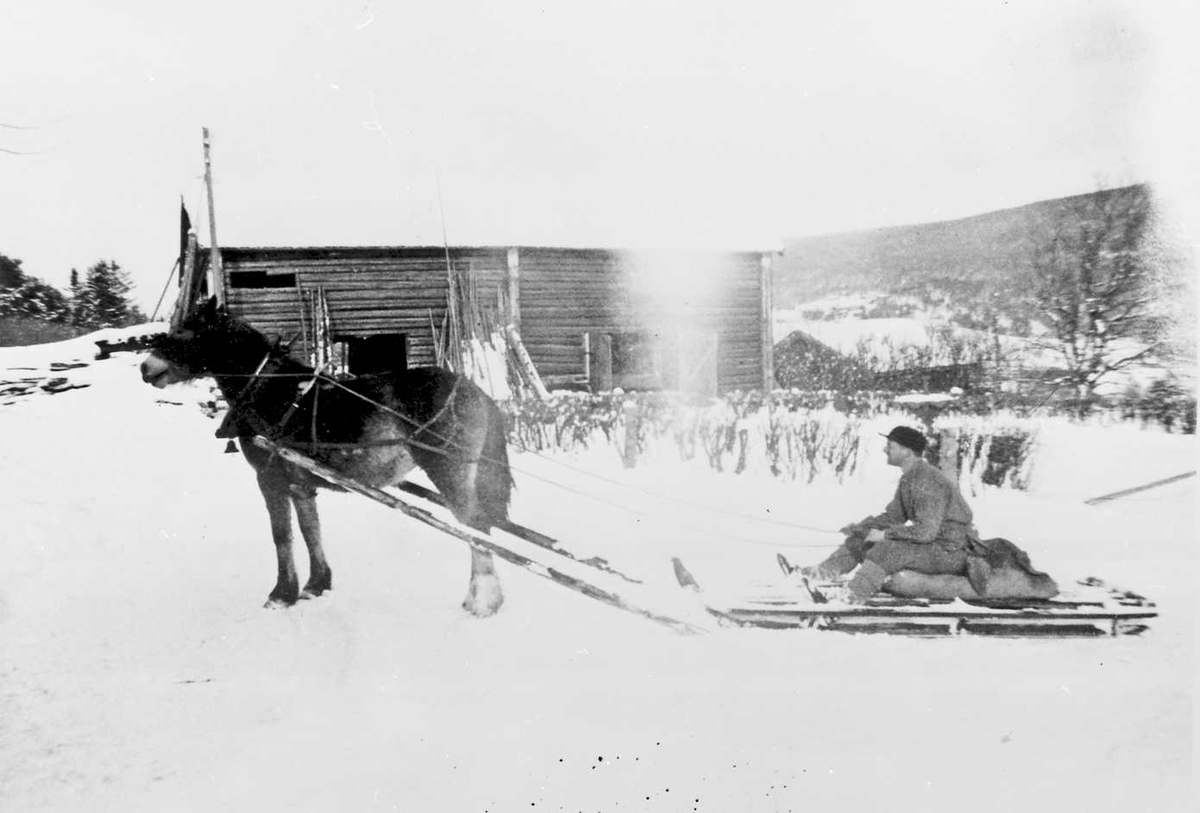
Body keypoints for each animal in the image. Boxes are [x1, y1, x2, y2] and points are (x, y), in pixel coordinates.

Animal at [140, 299, 516, 618]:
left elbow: (282, 535)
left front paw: (281, 594)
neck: (269, 391)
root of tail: (477, 392)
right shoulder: (300, 483)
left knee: (475, 528)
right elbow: (311, 530)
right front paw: (315, 585)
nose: (146, 367)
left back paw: (483, 602)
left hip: (450, 470)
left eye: (186, 334)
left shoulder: (269, 477)